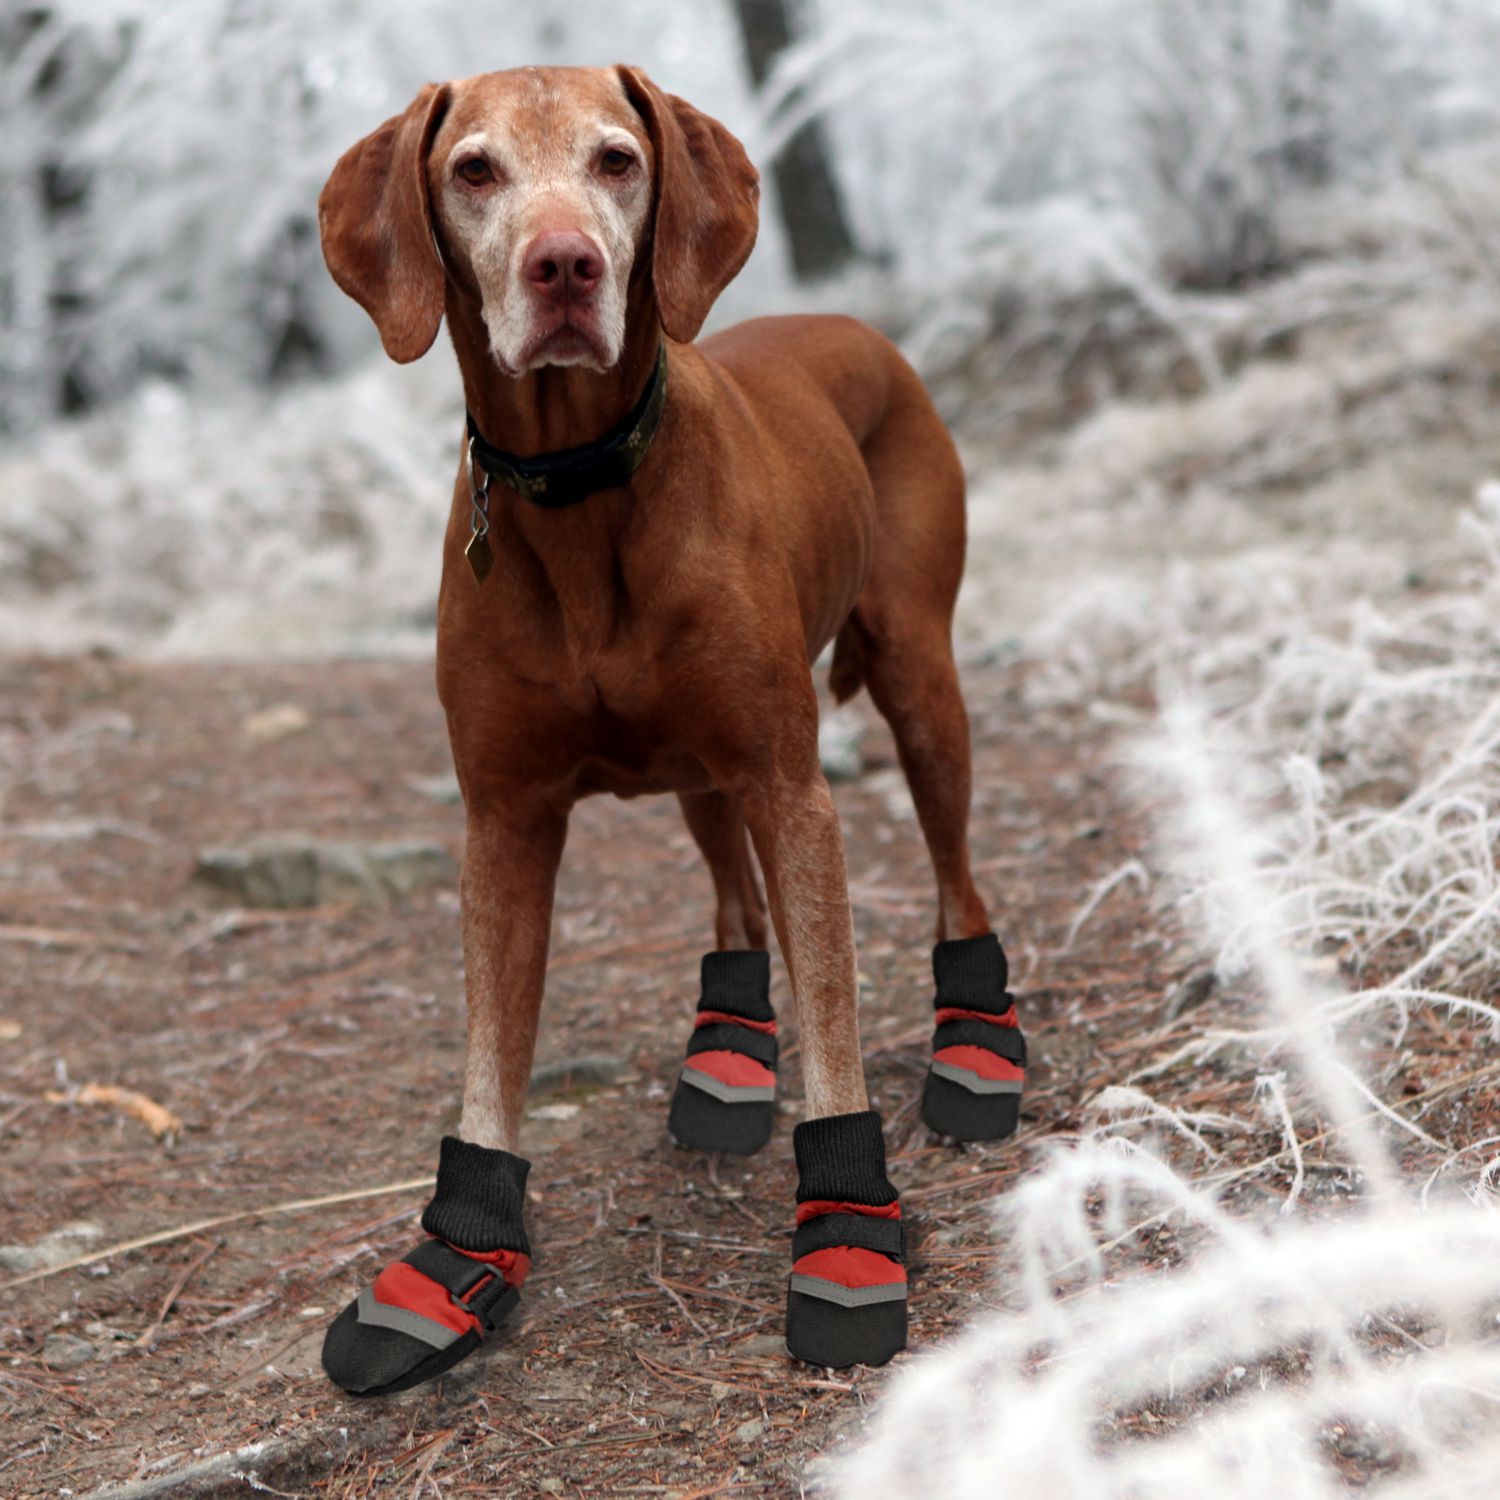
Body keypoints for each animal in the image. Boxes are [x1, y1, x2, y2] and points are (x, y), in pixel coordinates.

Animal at [313, 64, 1020, 1386]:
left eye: (618, 160)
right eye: (473, 169)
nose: (563, 267)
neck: (581, 491)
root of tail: (857, 326)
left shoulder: (793, 788)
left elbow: (835, 1021)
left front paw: (847, 1240)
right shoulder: (503, 820)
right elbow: (492, 1050)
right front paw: (453, 1257)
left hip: (918, 680)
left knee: (957, 876)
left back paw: (976, 1049)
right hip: (702, 767)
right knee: (733, 897)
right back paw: (728, 1056)